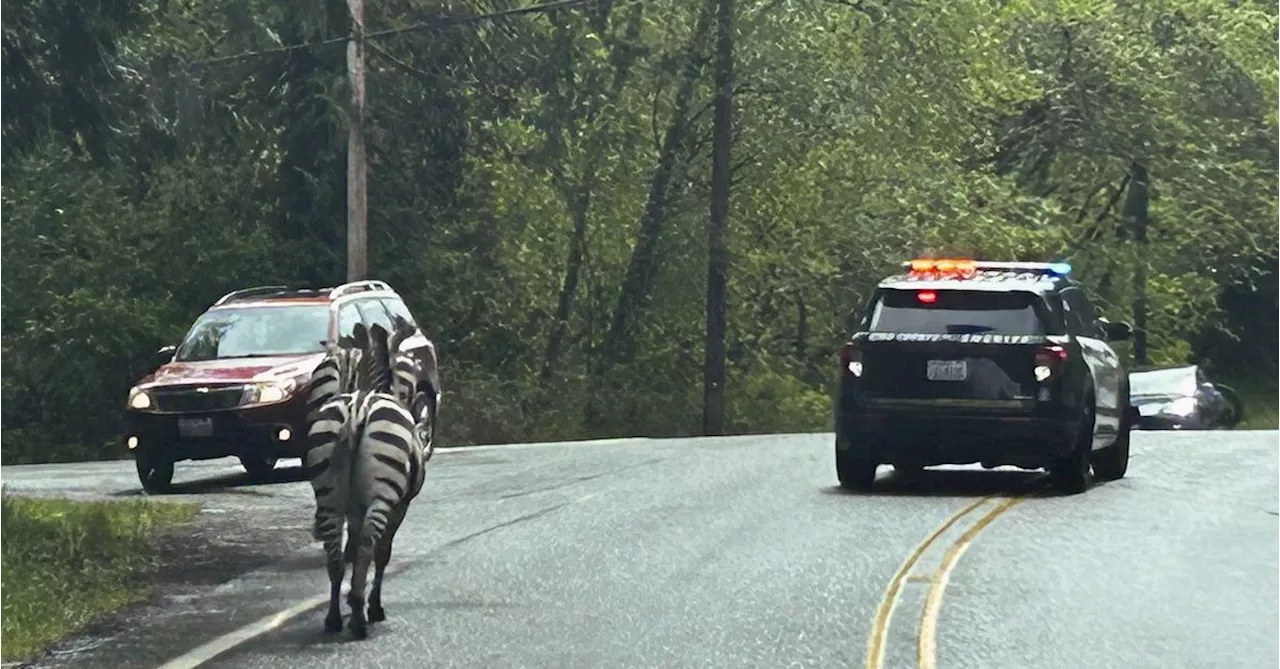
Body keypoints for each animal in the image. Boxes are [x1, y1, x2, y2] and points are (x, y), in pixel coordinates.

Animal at [302, 322, 427, 642]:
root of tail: (357, 409)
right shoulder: (400, 506)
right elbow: (382, 554)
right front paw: (375, 608)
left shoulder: (355, 506)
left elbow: (353, 544)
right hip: (384, 493)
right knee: (369, 546)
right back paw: (359, 617)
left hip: (329, 495)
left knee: (335, 554)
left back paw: (335, 618)